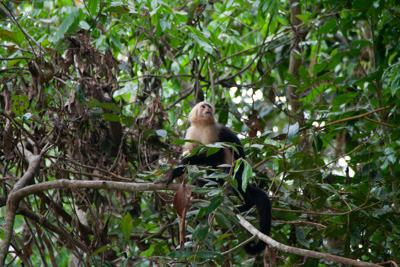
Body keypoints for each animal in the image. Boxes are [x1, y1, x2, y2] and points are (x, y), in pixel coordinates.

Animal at [154, 101, 272, 255]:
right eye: (203, 106)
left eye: (208, 106)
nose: (208, 108)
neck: (202, 125)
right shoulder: (191, 132)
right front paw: (170, 177)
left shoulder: (213, 130)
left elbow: (216, 153)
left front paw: (186, 159)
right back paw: (210, 183)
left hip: (239, 171)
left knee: (234, 177)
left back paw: (246, 204)